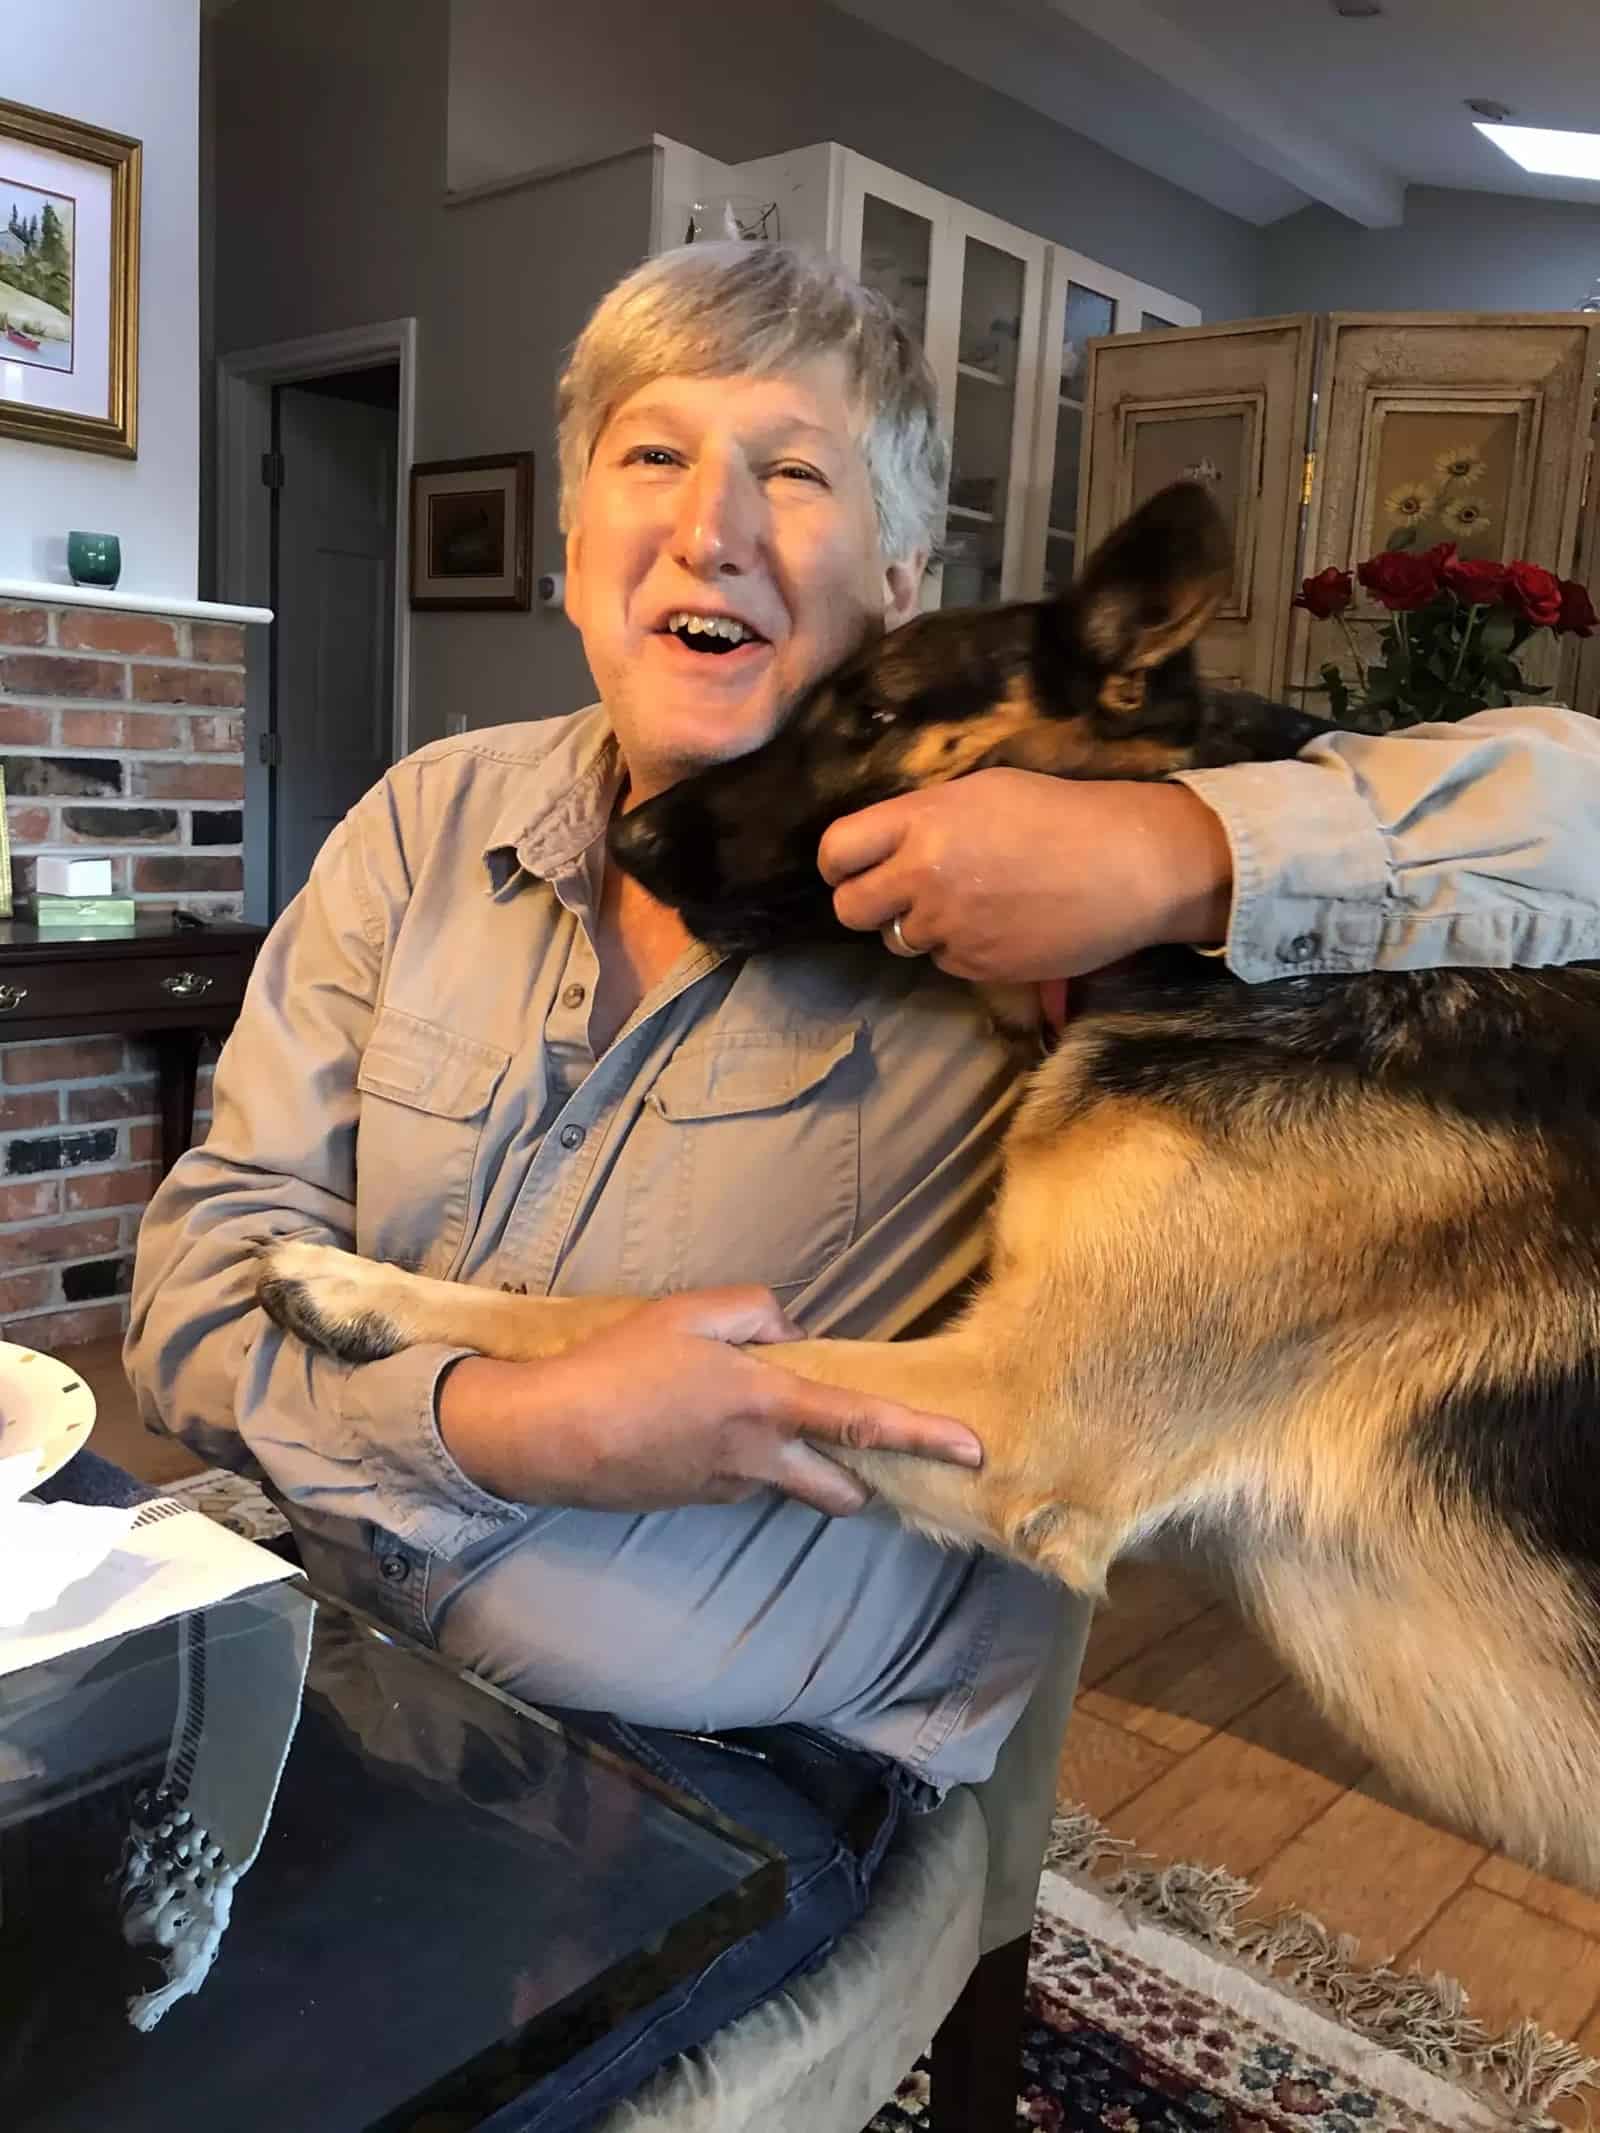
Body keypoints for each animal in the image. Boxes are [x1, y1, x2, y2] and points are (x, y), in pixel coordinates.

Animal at [257, 484, 1600, 1885]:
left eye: (873, 716)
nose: (627, 834)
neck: (1206, 955)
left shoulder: (1009, 1403)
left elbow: (618, 1318)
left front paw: (362, 1289)